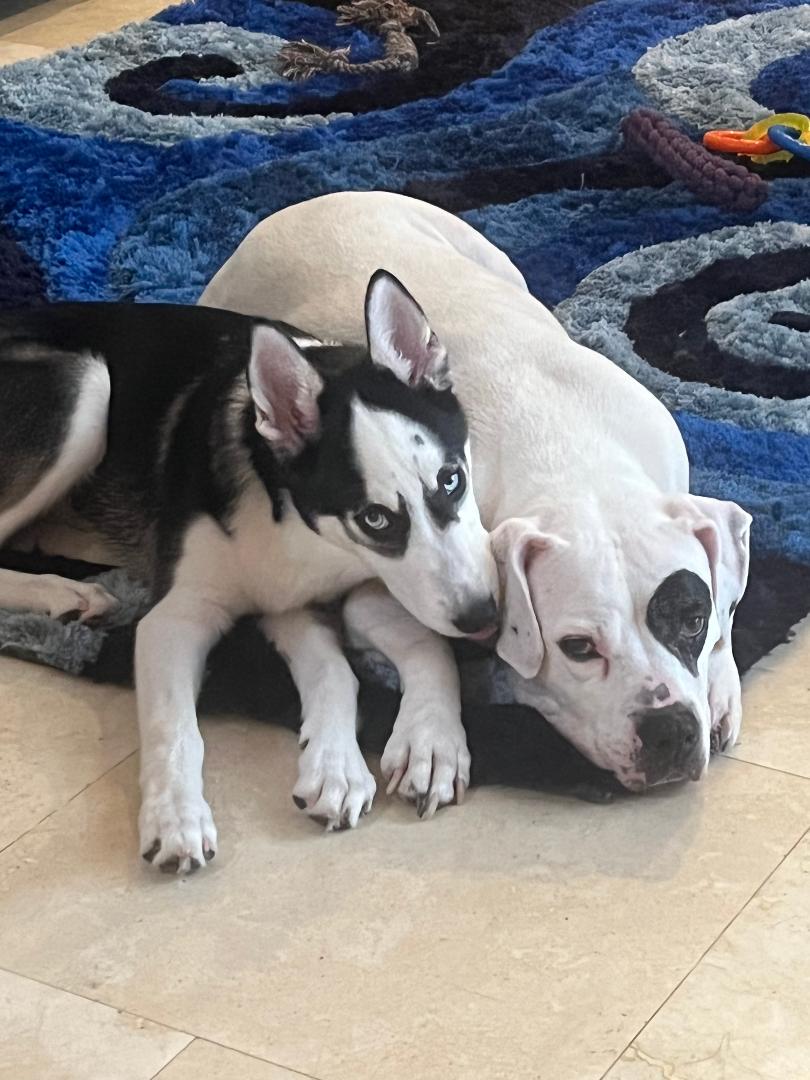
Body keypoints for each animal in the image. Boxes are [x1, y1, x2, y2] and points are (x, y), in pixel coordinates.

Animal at [0, 274, 498, 872]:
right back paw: (65, 592)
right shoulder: (176, 619)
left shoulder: (307, 596)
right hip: (86, 387)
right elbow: (175, 729)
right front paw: (175, 817)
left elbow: (387, 653)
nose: (486, 618)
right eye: (374, 518)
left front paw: (413, 747)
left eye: (451, 479)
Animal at [204, 192, 756, 803]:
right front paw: (433, 736)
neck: (572, 457)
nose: (670, 730)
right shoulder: (381, 588)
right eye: (578, 648)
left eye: (692, 619)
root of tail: (307, 203)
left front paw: (721, 686)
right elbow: (429, 643)